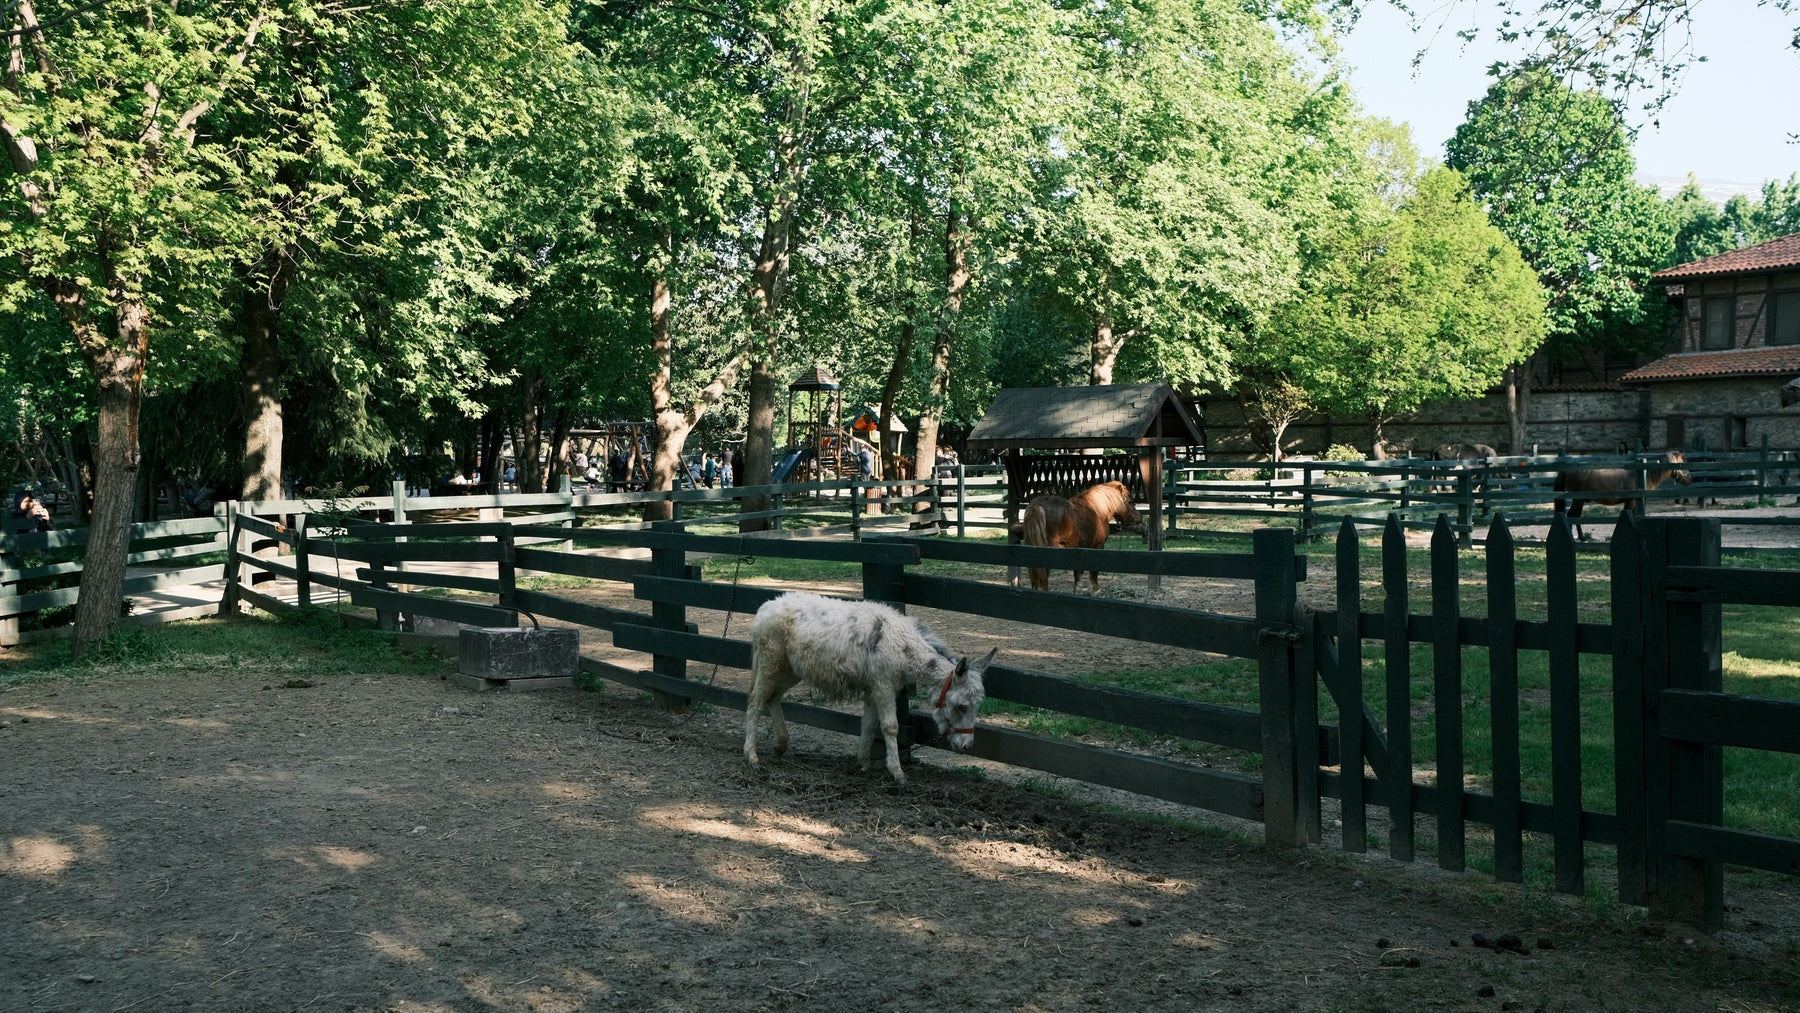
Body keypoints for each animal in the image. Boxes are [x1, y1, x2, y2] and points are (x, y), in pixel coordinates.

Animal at [743, 592, 996, 784]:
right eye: (962, 707)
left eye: (976, 707)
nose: (967, 746)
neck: (902, 645)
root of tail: (765, 608)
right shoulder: (883, 686)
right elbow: (890, 727)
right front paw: (897, 773)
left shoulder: (874, 687)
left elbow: (869, 724)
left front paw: (863, 764)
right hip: (771, 663)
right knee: (755, 702)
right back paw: (752, 756)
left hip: (790, 670)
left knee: (772, 697)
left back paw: (780, 747)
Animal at [1014, 480, 1144, 593]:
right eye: (1130, 501)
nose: (1139, 517)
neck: (1097, 511)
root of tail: (1036, 506)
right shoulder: (1098, 546)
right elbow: (1093, 571)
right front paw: (1095, 590)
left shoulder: (1078, 549)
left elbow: (1078, 573)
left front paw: (1078, 591)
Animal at [1553, 450, 1693, 541]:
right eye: (1682, 463)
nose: (1690, 479)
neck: (1643, 474)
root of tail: (1568, 471)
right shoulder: (1630, 502)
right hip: (1578, 500)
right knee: (1572, 516)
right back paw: (1579, 537)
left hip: (1580, 501)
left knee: (1574, 516)